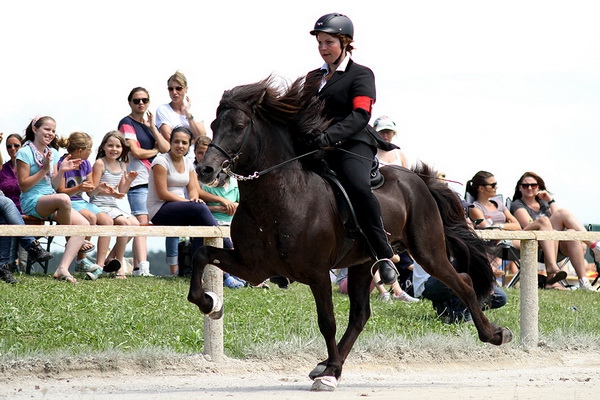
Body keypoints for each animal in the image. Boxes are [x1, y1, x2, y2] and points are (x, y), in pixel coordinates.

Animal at [189, 75, 510, 390]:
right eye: (214, 125)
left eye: (239, 127)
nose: (205, 169)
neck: (278, 197)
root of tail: (419, 179)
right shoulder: (254, 267)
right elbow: (201, 254)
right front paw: (211, 303)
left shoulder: (317, 273)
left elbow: (327, 321)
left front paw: (329, 376)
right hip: (363, 263)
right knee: (360, 314)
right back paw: (331, 365)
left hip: (427, 251)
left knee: (463, 283)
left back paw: (495, 334)